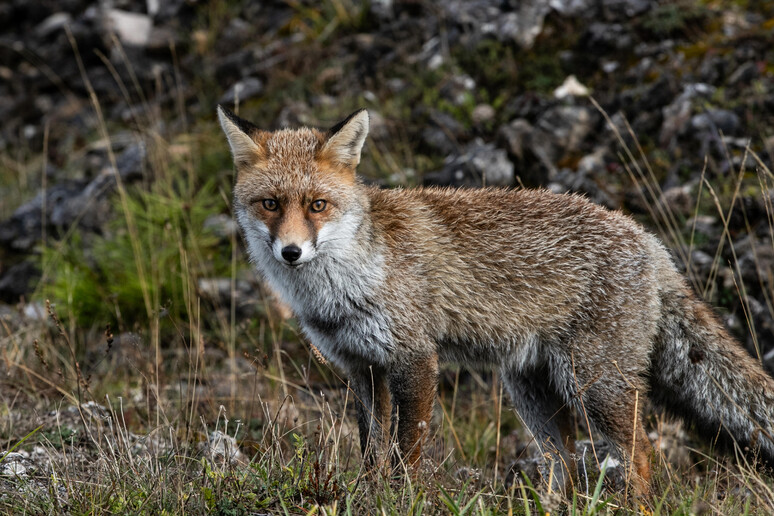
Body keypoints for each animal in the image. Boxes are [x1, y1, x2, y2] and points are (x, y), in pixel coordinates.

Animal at [215, 106, 774, 496]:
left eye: (317, 205)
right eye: (270, 204)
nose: (291, 252)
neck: (346, 283)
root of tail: (648, 239)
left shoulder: (415, 358)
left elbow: (404, 457)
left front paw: (397, 500)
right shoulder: (361, 368)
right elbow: (372, 455)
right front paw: (370, 498)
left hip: (595, 385)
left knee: (636, 461)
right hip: (532, 392)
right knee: (565, 466)